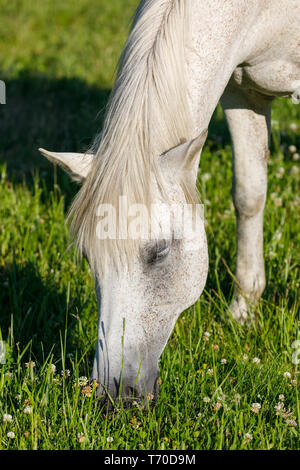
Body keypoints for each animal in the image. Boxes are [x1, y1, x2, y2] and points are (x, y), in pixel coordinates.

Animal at [38, 1, 298, 402]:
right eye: (89, 258)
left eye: (159, 252)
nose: (114, 393)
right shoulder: (244, 94)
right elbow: (249, 194)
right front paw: (244, 311)